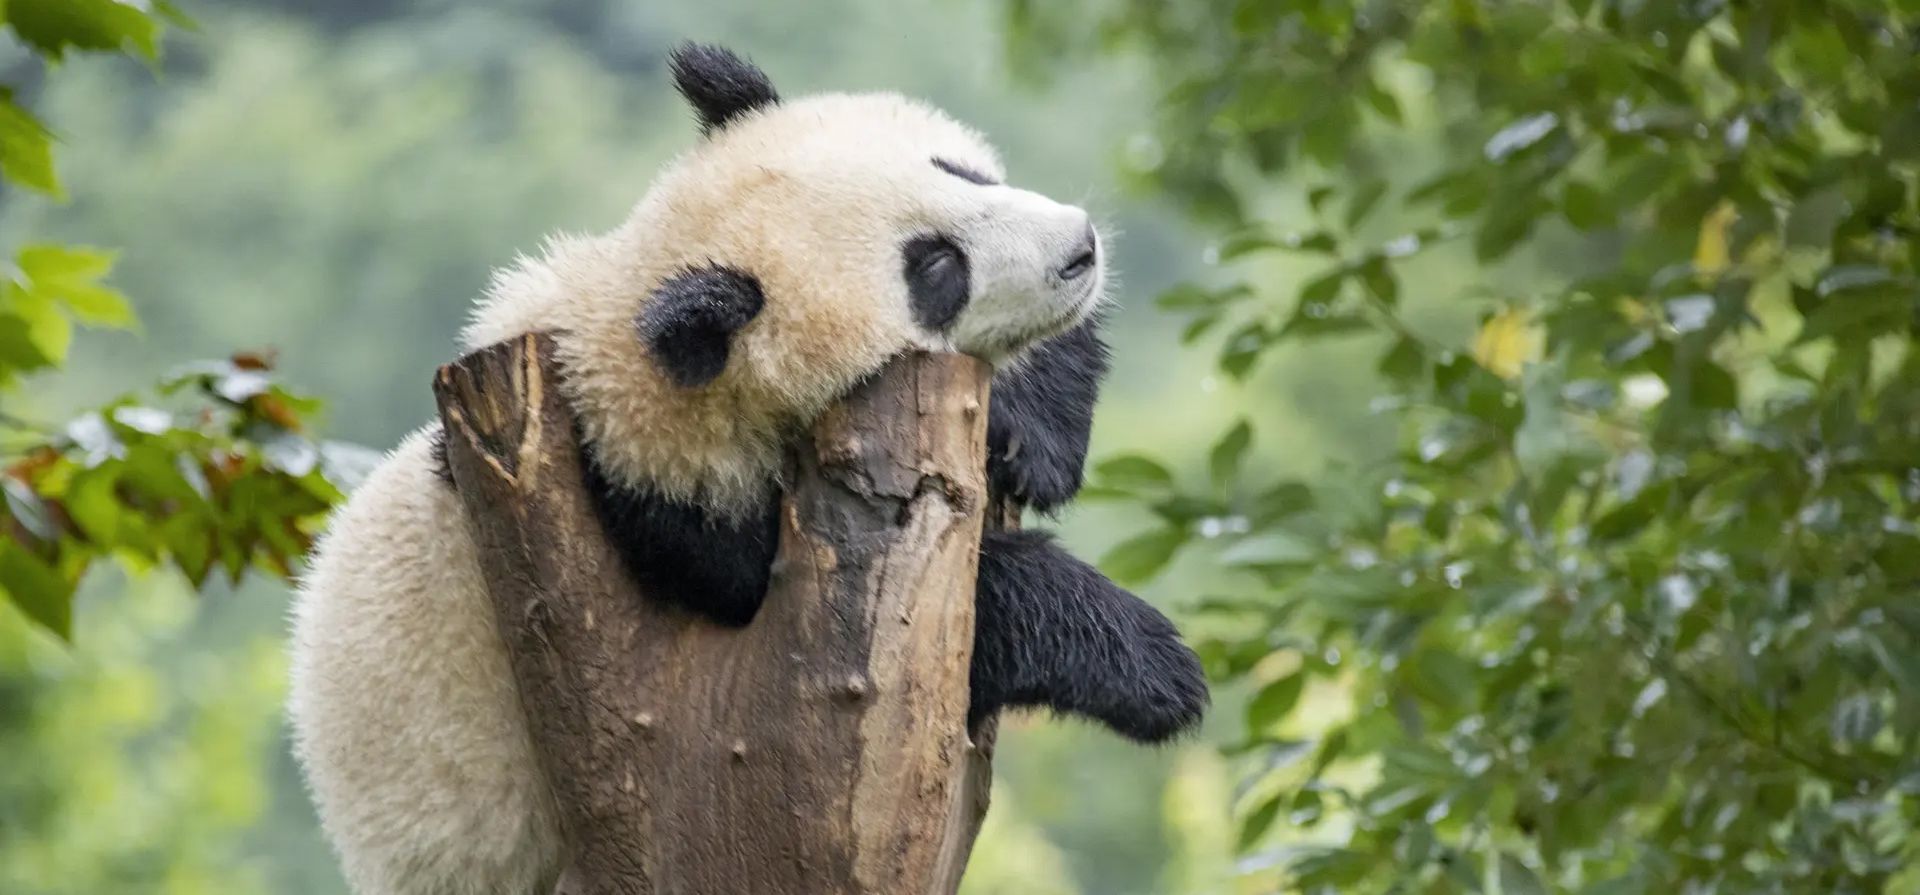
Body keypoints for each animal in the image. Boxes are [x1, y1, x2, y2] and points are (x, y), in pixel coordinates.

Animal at [288, 43, 1208, 895]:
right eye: (936, 267)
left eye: (957, 169)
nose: (1079, 247)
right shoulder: (666, 503)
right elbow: (938, 623)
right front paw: (1155, 667)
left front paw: (1029, 431)